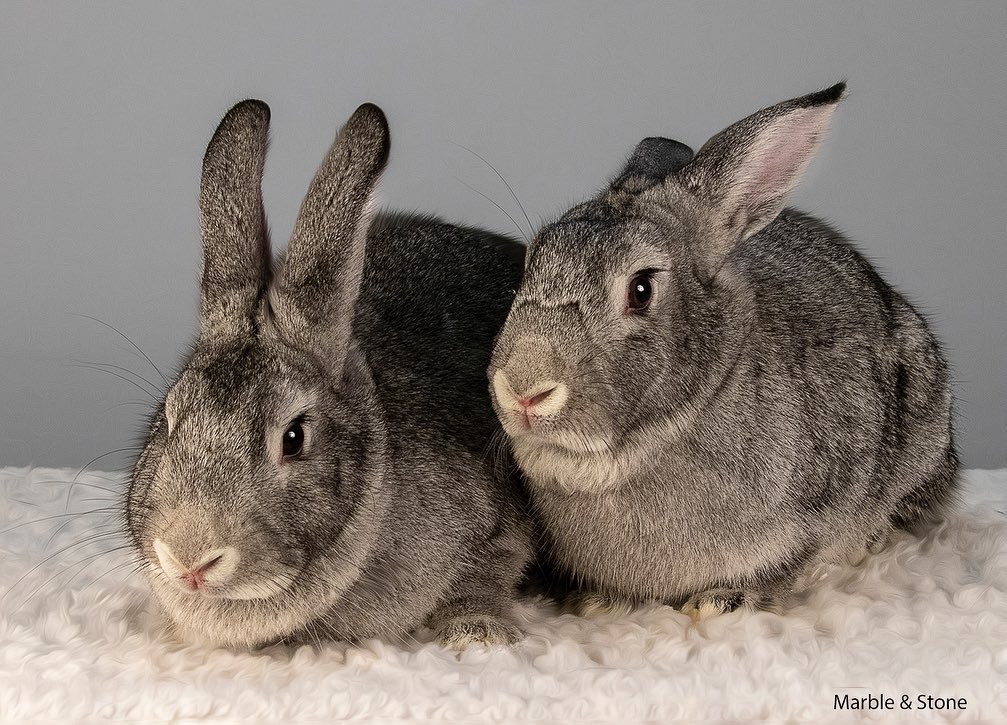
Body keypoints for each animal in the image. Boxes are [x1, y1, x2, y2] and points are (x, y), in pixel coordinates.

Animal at [124, 99, 534, 650]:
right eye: (168, 421)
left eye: (294, 438)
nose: (189, 559)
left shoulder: (497, 528)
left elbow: (488, 575)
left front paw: (477, 634)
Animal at [487, 82, 959, 620]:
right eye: (530, 264)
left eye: (641, 289)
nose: (523, 390)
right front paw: (600, 602)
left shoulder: (822, 505)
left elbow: (793, 561)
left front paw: (723, 601)